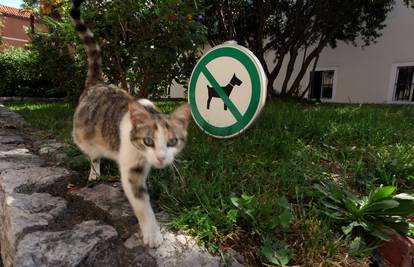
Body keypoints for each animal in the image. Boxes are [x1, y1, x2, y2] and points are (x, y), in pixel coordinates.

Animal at [70, 0, 192, 249]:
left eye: (172, 141)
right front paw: (153, 234)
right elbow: (141, 201)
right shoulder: (130, 165)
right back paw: (94, 173)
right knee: (92, 155)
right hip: (82, 134)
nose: (161, 158)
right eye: (148, 141)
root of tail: (97, 83)